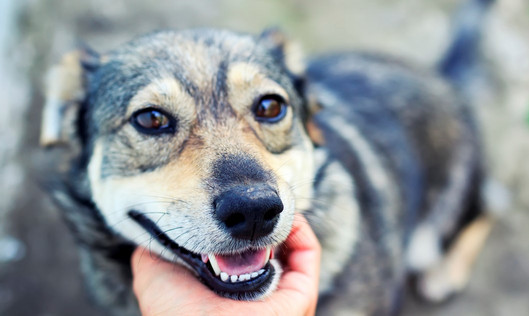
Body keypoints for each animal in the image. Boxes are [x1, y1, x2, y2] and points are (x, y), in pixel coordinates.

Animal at [40, 0, 496, 314]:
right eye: (150, 119)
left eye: (270, 106)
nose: (254, 210)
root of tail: (436, 73)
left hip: (437, 226)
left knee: (488, 208)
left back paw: (444, 274)